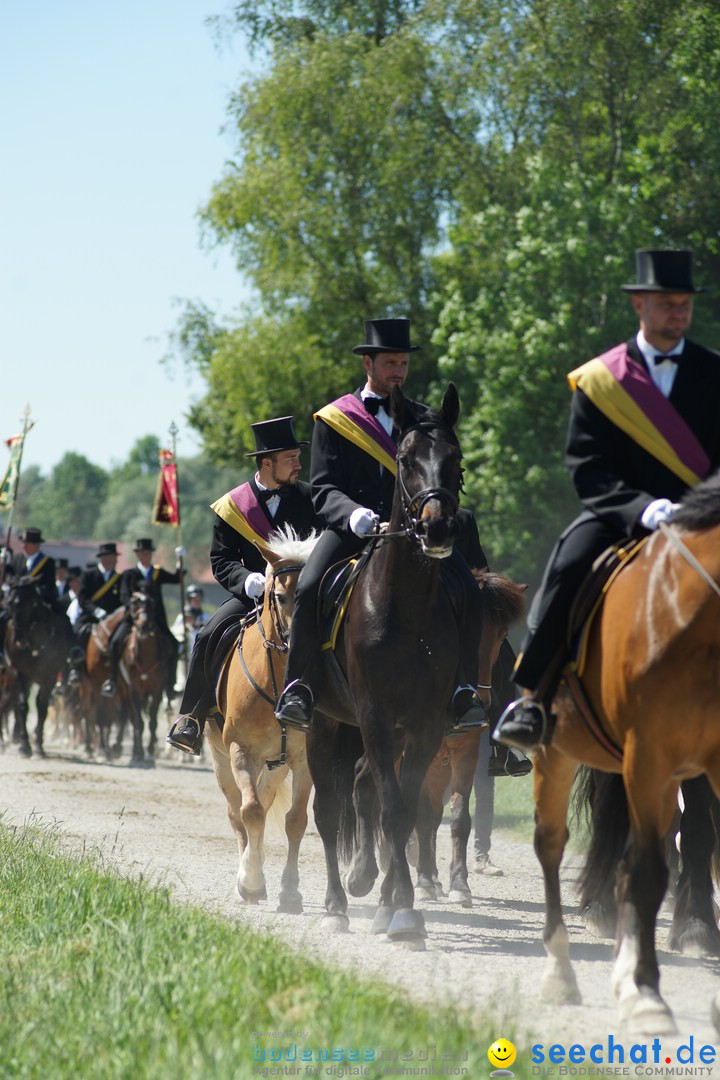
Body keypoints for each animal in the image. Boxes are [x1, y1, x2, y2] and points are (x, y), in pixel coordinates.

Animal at [4, 578, 72, 756]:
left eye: (31, 603)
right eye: (10, 603)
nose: (18, 640)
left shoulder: (50, 676)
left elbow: (42, 707)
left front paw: (38, 745)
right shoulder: (19, 673)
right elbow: (23, 705)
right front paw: (24, 746)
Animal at [208, 522, 321, 911]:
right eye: (281, 597)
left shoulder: (303, 759)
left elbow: (296, 821)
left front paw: (290, 891)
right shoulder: (242, 750)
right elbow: (251, 813)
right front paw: (252, 883)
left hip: (277, 765)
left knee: (264, 798)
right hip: (221, 758)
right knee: (237, 812)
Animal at [306, 382, 474, 946]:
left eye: (456, 457)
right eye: (405, 459)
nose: (438, 527)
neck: (405, 605)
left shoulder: (423, 722)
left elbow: (401, 811)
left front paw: (397, 907)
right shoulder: (375, 714)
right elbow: (393, 806)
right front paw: (398, 908)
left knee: (365, 787)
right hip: (323, 721)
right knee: (327, 810)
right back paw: (335, 904)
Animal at [414, 570, 526, 907]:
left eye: (502, 635)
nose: (481, 700)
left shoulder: (465, 754)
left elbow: (458, 819)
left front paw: (458, 885)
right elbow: (421, 814)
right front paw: (423, 883)